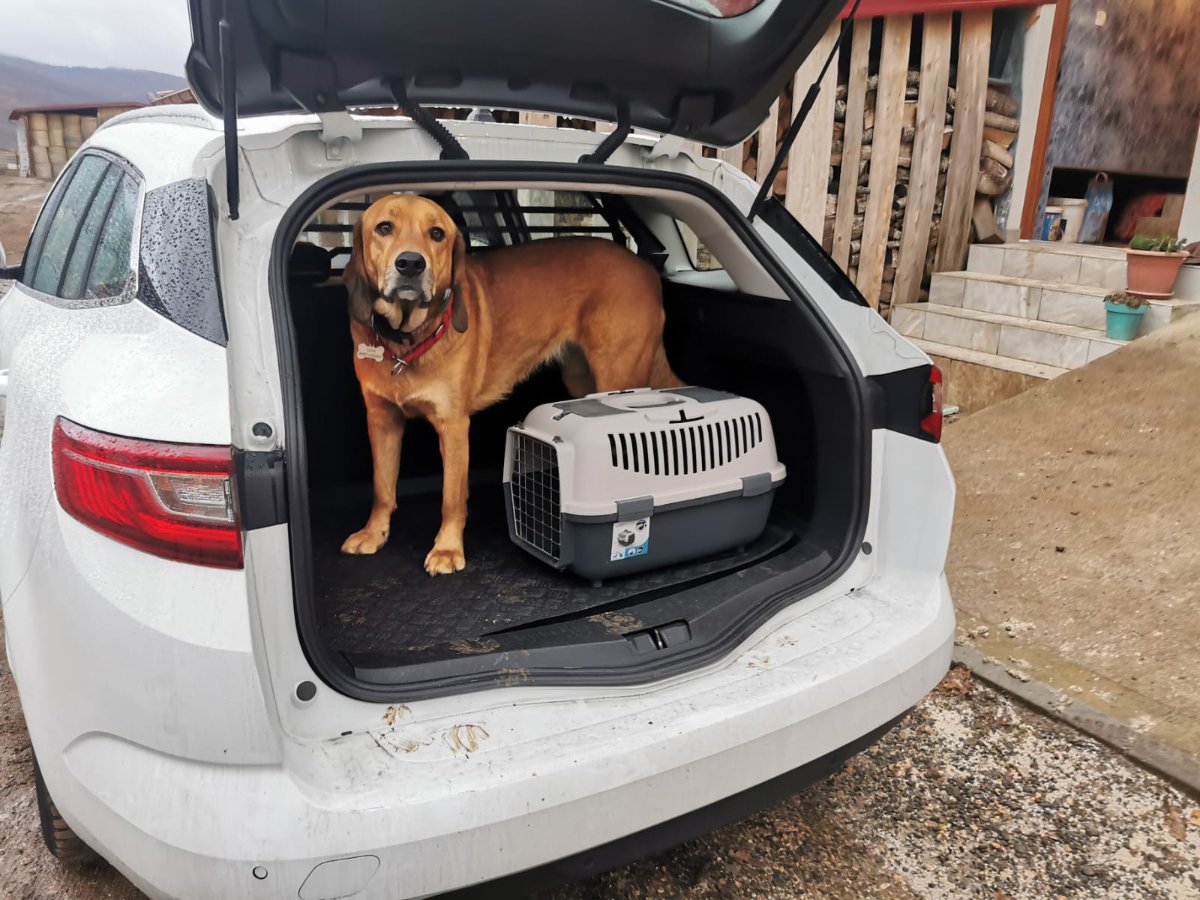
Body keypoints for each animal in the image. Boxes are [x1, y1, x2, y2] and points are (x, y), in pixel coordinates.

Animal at [340, 196, 676, 578]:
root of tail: (645, 268)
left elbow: (451, 497)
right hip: (581, 378)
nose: (410, 263)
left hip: (618, 374)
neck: (405, 343)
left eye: (437, 233)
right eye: (384, 227)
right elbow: (382, 487)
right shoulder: (381, 420)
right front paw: (374, 533)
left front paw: (447, 549)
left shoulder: (453, 426)